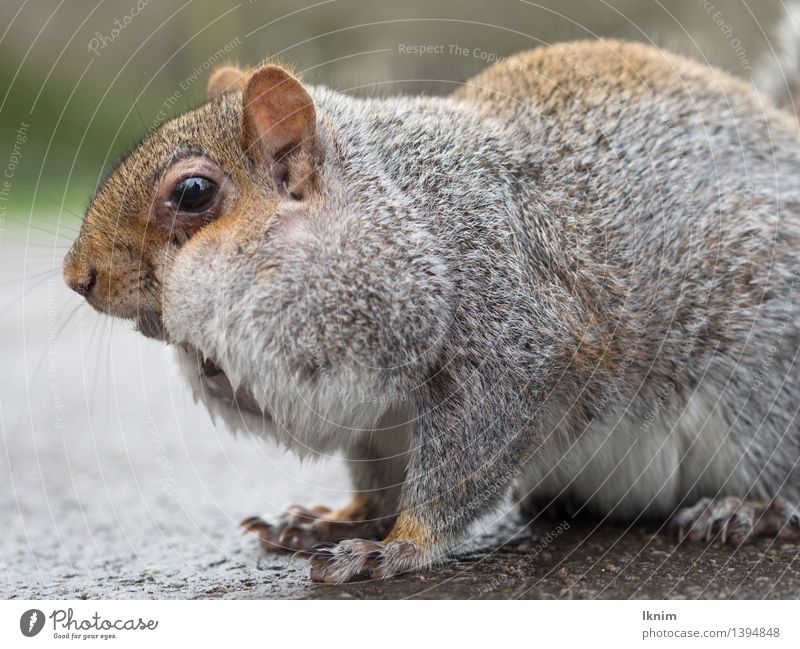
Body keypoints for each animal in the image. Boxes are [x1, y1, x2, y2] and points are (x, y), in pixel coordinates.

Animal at [65, 36, 800, 584]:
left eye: (192, 192)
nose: (79, 277)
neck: (401, 206)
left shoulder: (504, 329)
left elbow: (465, 451)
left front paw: (397, 546)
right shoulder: (373, 407)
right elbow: (376, 470)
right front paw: (337, 520)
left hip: (763, 374)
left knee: (777, 457)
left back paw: (748, 508)